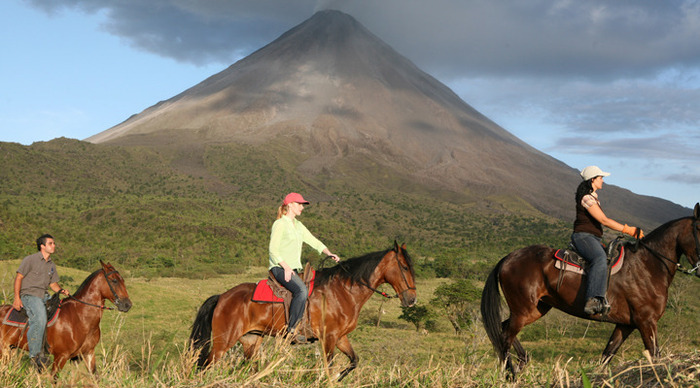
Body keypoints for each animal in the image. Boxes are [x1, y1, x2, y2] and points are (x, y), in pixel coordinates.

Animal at [0, 262, 132, 374]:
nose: (127, 304)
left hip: (10, 350)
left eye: (123, 280)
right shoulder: (61, 356)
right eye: (114, 280)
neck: (80, 317)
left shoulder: (88, 353)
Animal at [189, 241, 416, 380]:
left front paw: (337, 377)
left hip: (251, 340)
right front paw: (329, 379)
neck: (343, 291)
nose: (412, 299)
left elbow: (353, 361)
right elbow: (328, 367)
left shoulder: (340, 337)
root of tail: (223, 297)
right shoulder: (329, 338)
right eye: (405, 267)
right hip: (223, 343)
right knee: (205, 366)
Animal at [482, 202, 700, 378]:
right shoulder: (646, 322)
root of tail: (508, 258)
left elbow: (606, 356)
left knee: (504, 329)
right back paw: (509, 375)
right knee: (505, 336)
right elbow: (655, 356)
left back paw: (521, 363)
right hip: (523, 310)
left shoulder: (625, 325)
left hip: (537, 309)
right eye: (699, 228)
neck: (647, 265)